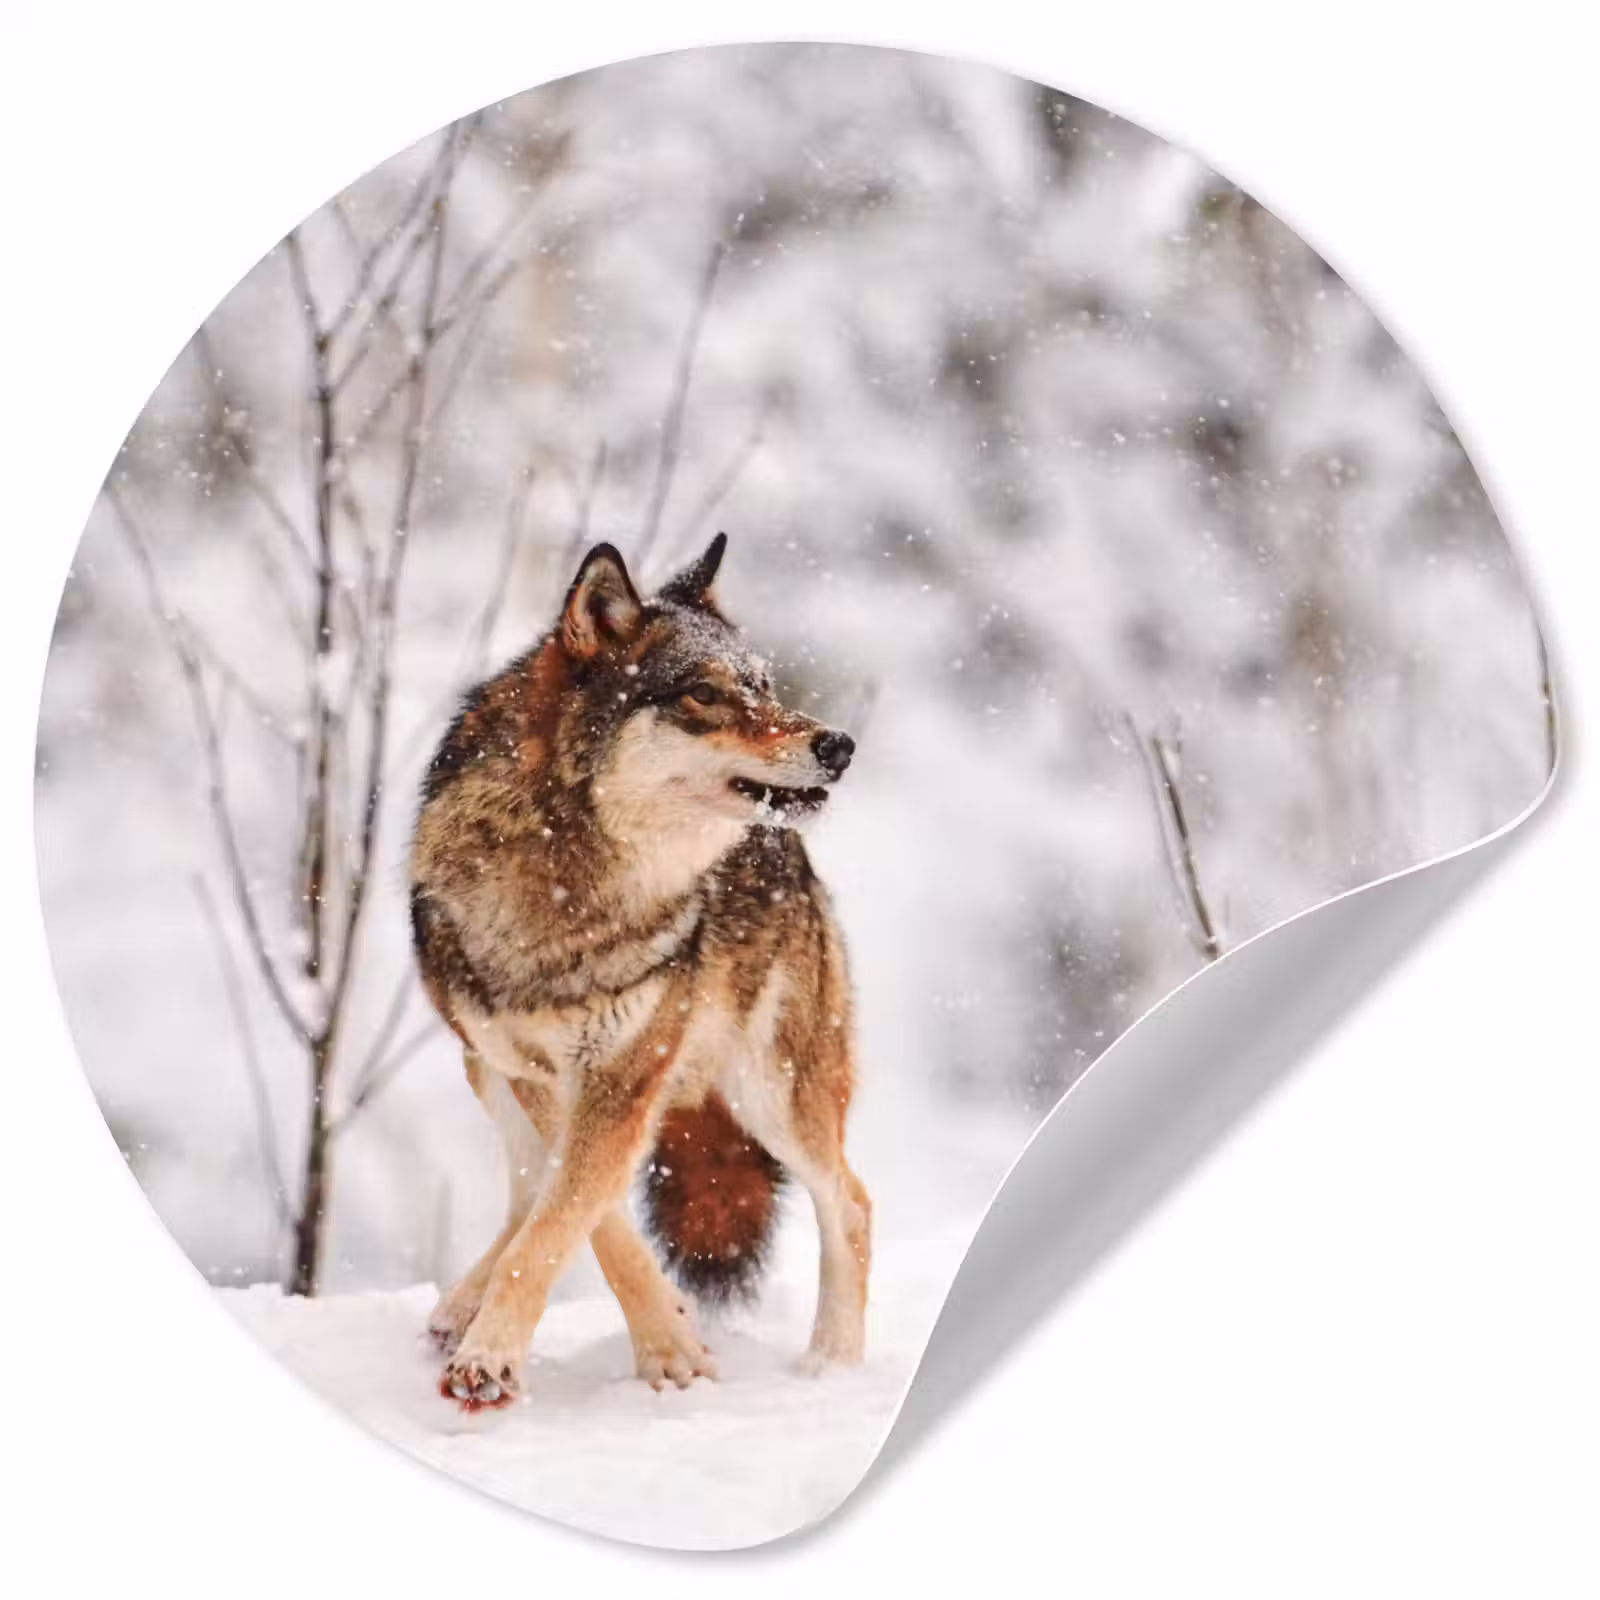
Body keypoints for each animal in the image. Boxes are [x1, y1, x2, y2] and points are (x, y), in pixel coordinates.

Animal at [410, 533, 871, 1410]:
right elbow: (583, 1218)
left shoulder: (624, 1073)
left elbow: (566, 1218)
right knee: (525, 1189)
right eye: (705, 694)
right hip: (483, 1069)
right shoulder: (537, 1071)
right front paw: (669, 1341)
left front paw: (497, 1358)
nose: (838, 745)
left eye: (764, 686)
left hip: (772, 1091)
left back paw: (834, 1365)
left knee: (852, 1203)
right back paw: (458, 1307)